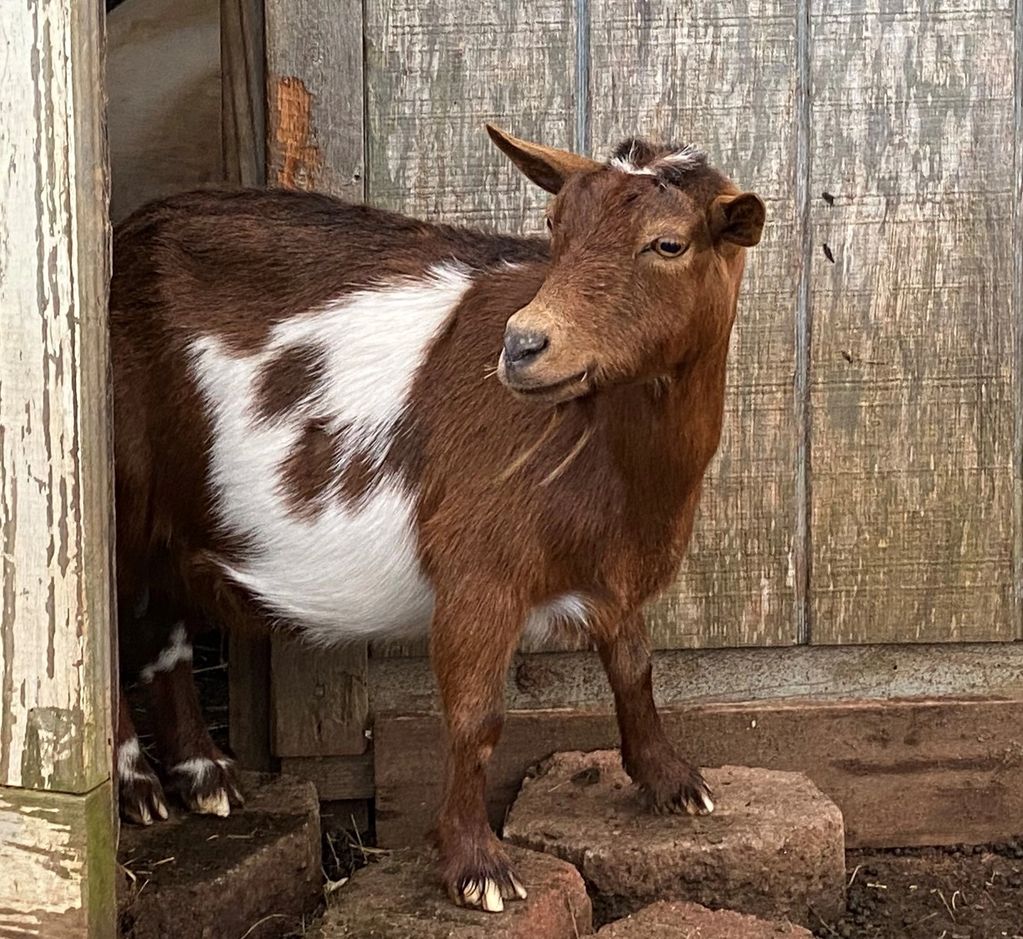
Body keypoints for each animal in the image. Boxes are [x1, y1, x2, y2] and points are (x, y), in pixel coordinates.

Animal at [112, 124, 765, 912]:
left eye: (668, 244)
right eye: (555, 226)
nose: (522, 346)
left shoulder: (610, 563)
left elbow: (634, 665)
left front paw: (672, 781)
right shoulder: (477, 571)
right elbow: (476, 717)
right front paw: (476, 865)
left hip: (177, 512)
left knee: (162, 622)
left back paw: (203, 773)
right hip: (118, 488)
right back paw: (135, 784)